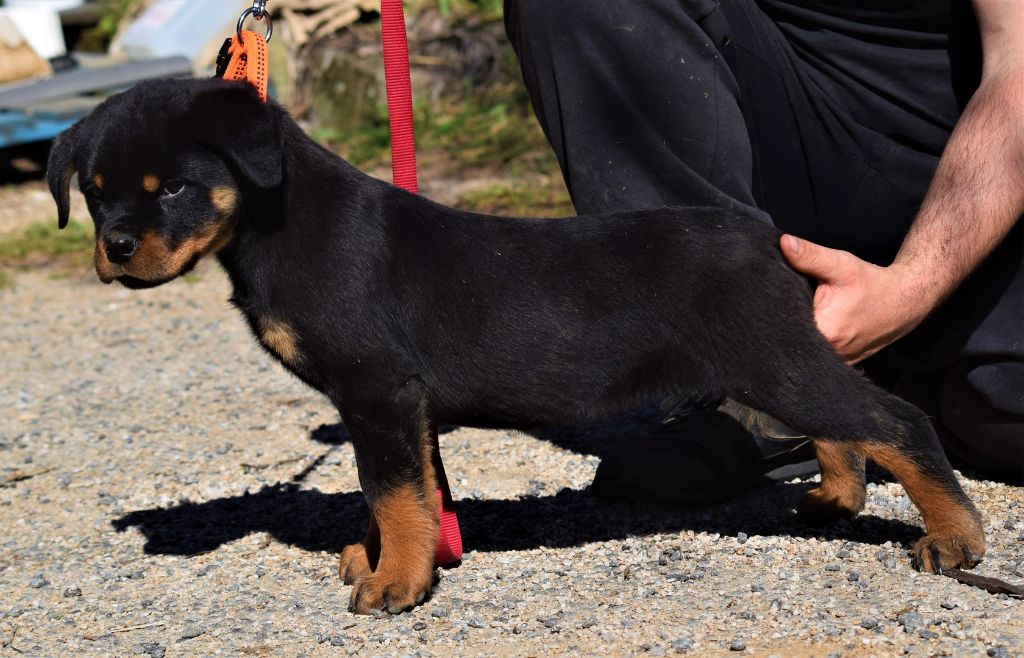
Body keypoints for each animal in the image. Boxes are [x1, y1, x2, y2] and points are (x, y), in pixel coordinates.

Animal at [48, 79, 983, 613]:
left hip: (769, 355)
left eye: (173, 186)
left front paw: (396, 584)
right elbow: (410, 492)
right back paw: (836, 497)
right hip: (772, 359)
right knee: (844, 420)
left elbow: (393, 492)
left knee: (894, 418)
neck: (275, 219)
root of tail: (760, 235)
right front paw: (387, 560)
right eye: (92, 194)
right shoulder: (392, 406)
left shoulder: (376, 390)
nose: (116, 249)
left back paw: (956, 539)